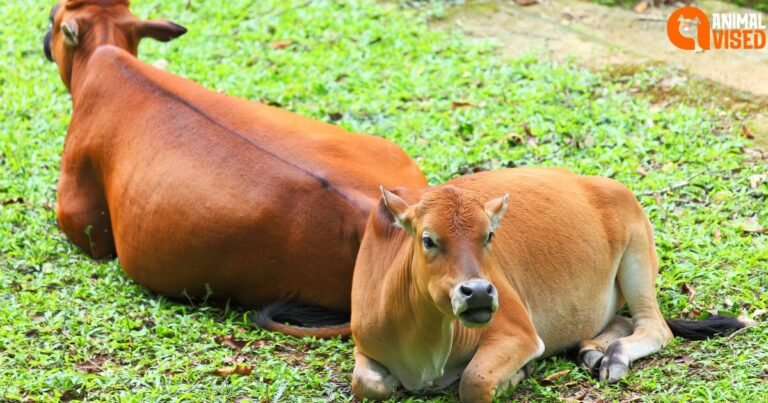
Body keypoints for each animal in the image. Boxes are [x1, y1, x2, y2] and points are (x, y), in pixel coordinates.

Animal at [350, 166, 752, 400]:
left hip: (637, 251)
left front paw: (515, 376)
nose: (478, 292)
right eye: (428, 239)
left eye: (489, 236)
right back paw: (593, 351)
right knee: (620, 322)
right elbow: (368, 385)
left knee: (653, 327)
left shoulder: (519, 332)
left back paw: (613, 357)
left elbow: (474, 381)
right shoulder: (364, 343)